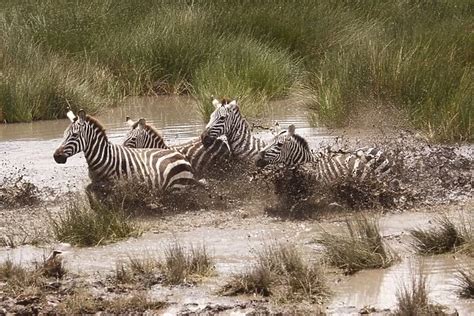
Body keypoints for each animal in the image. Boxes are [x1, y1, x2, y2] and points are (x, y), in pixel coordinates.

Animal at [53, 110, 200, 191]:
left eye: (74, 135)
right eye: (64, 135)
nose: (56, 156)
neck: (104, 157)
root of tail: (181, 157)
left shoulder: (115, 184)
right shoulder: (96, 183)